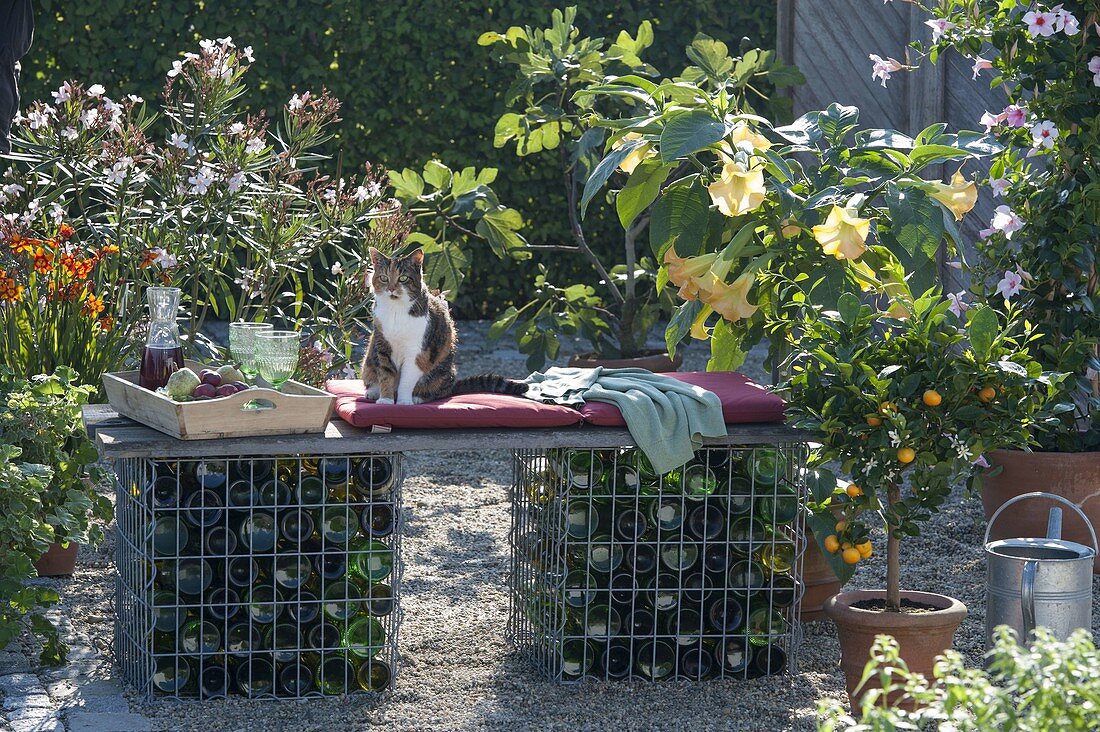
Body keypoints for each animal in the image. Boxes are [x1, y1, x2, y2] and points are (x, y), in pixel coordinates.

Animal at [360, 246, 528, 405]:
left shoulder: (418, 351)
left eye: (403, 278)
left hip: (441, 370)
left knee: (439, 391)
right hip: (369, 359)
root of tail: (452, 384)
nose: (391, 289)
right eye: (384, 278)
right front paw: (386, 399)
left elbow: (407, 380)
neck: (396, 311)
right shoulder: (382, 345)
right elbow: (386, 374)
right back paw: (373, 392)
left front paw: (404, 401)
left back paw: (418, 397)